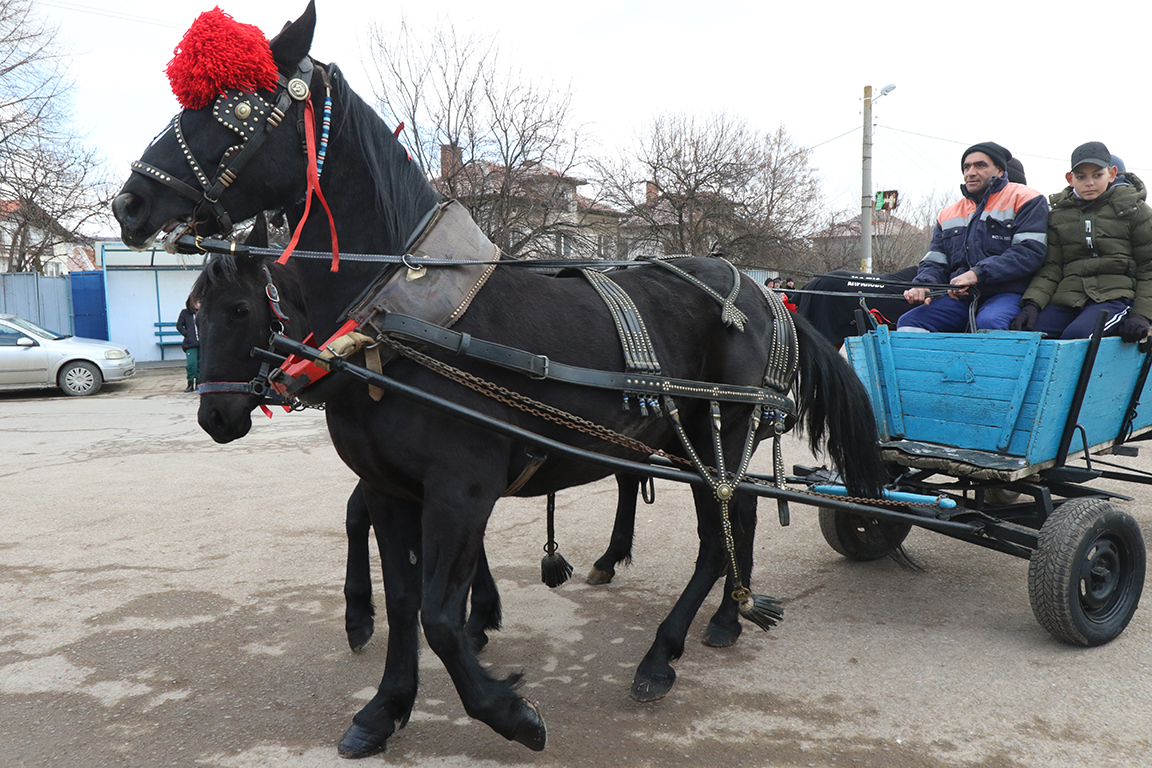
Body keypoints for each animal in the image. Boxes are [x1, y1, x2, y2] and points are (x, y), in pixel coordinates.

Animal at [114, 1, 880, 755]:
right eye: (191, 314)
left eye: (235, 106)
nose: (129, 203)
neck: (396, 326)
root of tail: (763, 292)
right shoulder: (391, 488)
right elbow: (404, 601)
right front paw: (385, 706)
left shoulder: (462, 487)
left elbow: (439, 615)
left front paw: (507, 710)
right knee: (732, 520)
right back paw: (724, 618)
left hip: (720, 428)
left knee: (721, 532)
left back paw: (665, 652)